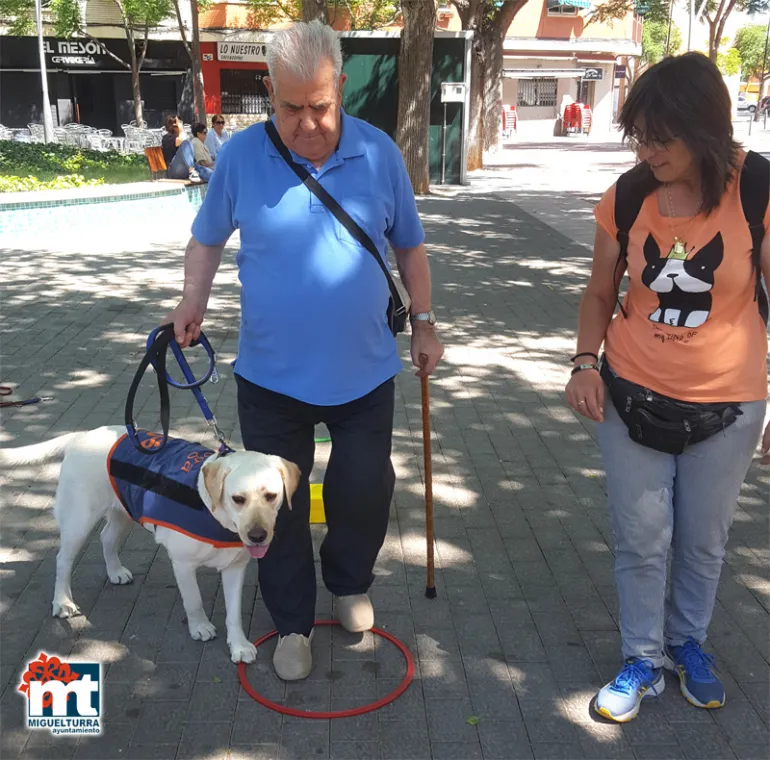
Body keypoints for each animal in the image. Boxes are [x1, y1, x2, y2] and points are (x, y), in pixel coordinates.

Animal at [1, 428, 298, 664]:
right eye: (238, 499)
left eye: (271, 496)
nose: (258, 535)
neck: (215, 515)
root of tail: (82, 434)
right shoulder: (183, 564)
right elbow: (194, 600)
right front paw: (200, 627)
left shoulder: (235, 567)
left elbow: (234, 613)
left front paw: (239, 645)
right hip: (79, 520)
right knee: (63, 559)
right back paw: (62, 601)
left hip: (122, 509)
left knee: (106, 538)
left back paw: (115, 572)